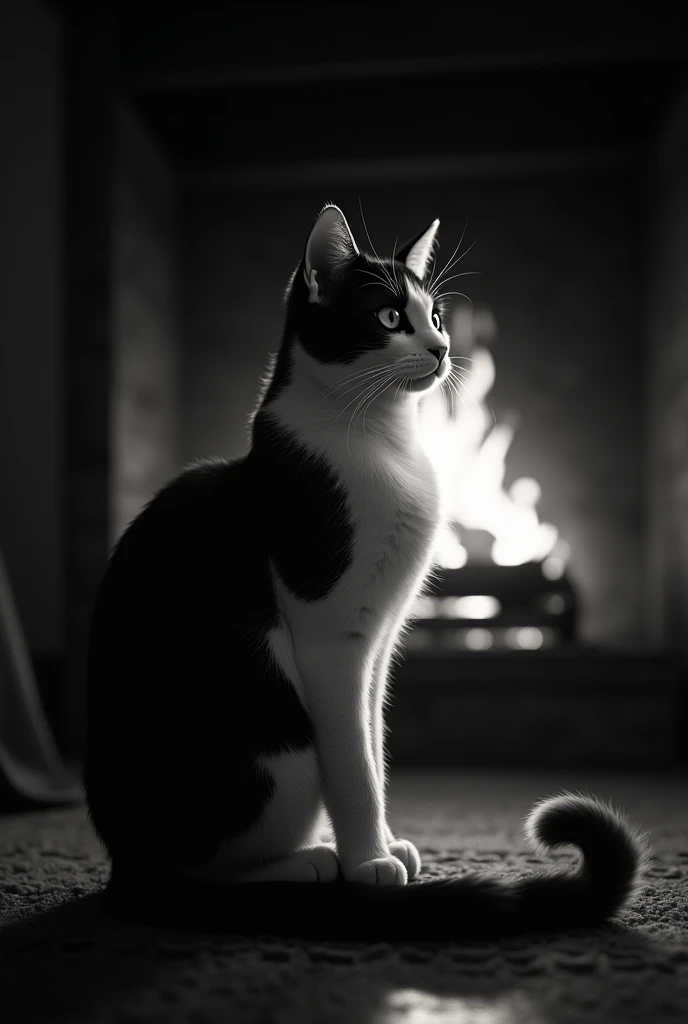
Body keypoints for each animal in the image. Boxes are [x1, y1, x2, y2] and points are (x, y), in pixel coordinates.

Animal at [83, 203, 647, 937]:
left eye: (436, 315)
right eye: (388, 316)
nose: (440, 349)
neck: (385, 441)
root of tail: (123, 861)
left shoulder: (379, 641)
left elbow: (372, 748)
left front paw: (384, 842)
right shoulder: (331, 641)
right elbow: (351, 762)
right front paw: (367, 864)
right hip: (281, 745)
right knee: (200, 870)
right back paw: (308, 864)